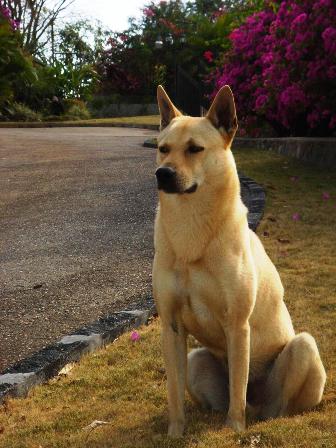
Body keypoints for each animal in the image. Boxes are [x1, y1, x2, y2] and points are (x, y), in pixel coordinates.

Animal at [152, 84, 326, 438]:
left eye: (195, 149)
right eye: (163, 149)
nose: (162, 173)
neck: (191, 227)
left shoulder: (236, 324)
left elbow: (237, 390)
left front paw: (234, 428)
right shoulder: (171, 326)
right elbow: (174, 392)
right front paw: (175, 432)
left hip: (303, 348)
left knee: (270, 404)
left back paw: (260, 419)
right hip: (197, 360)